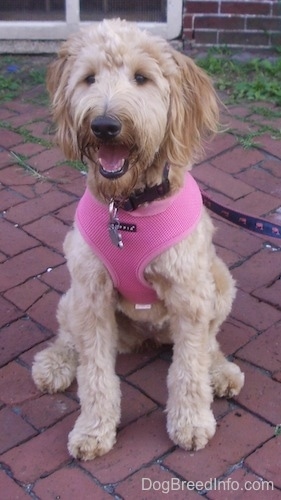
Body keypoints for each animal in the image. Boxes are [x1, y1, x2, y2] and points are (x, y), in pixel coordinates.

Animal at [32, 17, 243, 460]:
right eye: (89, 79)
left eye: (142, 78)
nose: (104, 125)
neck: (129, 208)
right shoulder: (92, 297)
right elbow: (94, 375)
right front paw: (94, 430)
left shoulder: (191, 297)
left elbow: (189, 369)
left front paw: (191, 421)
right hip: (74, 297)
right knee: (69, 337)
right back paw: (55, 363)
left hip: (220, 282)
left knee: (208, 344)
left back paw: (220, 371)